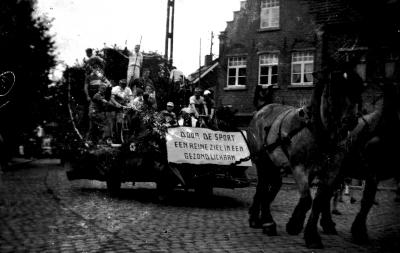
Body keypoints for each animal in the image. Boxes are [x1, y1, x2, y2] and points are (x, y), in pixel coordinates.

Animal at [247, 68, 362, 245]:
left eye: (358, 87)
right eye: (335, 88)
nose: (350, 121)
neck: (321, 134)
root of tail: (262, 109)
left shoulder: (331, 171)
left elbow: (319, 200)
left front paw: (311, 234)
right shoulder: (299, 167)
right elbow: (307, 199)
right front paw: (295, 224)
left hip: (275, 165)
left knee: (270, 188)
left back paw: (262, 220)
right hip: (262, 161)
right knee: (262, 187)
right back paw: (264, 221)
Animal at [306, 80, 400, 247]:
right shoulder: (373, 171)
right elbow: (367, 200)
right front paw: (359, 232)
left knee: (326, 194)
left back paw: (327, 225)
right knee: (323, 193)